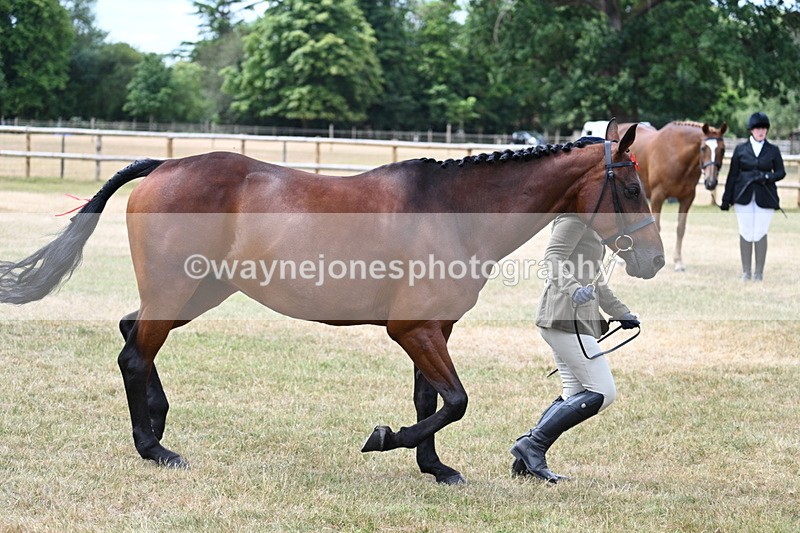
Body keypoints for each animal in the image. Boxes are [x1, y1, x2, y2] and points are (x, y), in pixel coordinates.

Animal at [0, 119, 664, 484]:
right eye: (632, 188)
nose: (653, 261)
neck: (451, 211)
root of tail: (164, 165)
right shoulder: (411, 329)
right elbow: (454, 401)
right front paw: (386, 439)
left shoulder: (432, 329)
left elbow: (432, 399)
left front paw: (434, 467)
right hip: (177, 289)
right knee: (135, 353)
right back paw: (154, 447)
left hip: (199, 289)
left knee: (130, 332)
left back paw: (158, 424)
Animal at [619, 120, 727, 271]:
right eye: (703, 148)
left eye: (722, 150)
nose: (711, 182)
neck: (675, 154)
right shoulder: (658, 196)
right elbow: (657, 227)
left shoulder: (687, 199)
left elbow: (680, 229)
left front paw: (678, 262)